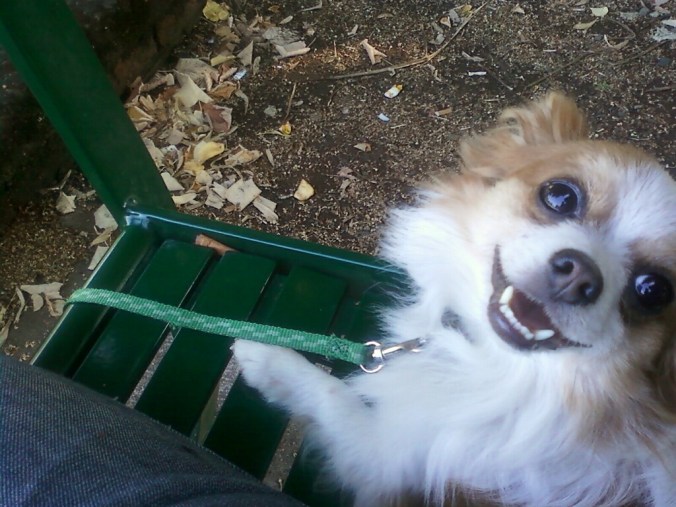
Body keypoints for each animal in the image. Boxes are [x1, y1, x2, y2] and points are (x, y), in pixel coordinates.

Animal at [233, 93, 676, 506]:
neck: (494, 361)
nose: (581, 274)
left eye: (652, 290)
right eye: (561, 196)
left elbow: (332, 397)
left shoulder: (386, 457)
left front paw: (268, 357)